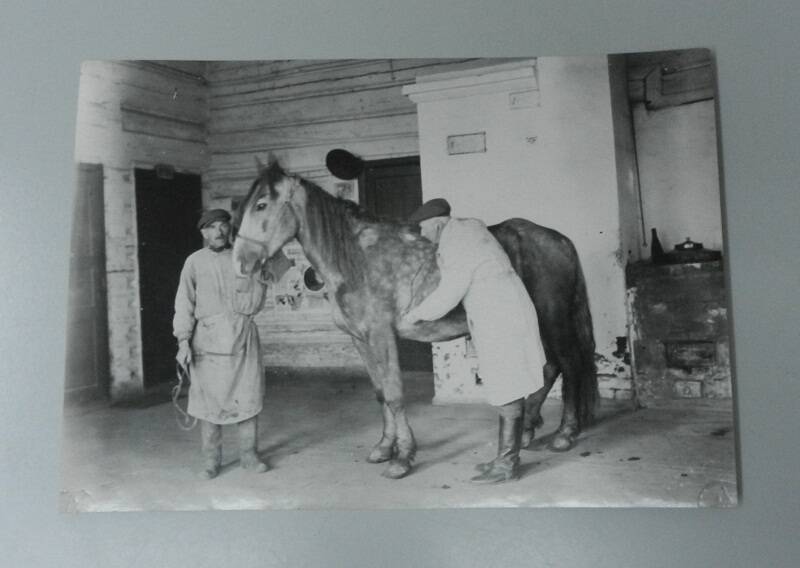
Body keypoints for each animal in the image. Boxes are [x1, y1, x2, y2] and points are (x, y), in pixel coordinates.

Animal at [231, 159, 592, 480]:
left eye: (261, 204)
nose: (241, 261)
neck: (356, 260)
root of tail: (560, 239)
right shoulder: (360, 340)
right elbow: (381, 394)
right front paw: (384, 447)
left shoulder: (381, 336)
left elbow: (394, 394)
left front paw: (402, 458)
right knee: (550, 368)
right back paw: (529, 430)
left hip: (553, 319)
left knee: (570, 365)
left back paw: (564, 435)